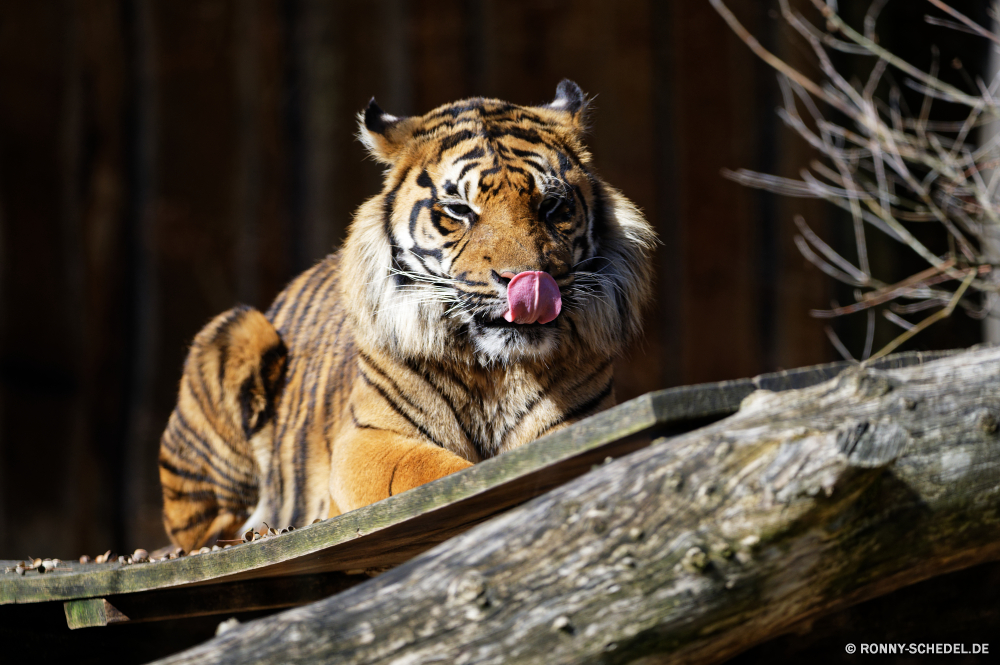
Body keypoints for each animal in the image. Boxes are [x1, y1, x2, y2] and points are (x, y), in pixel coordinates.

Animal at [158, 80, 656, 548]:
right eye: (459, 210)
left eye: (551, 206)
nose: (527, 280)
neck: (496, 372)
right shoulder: (366, 439)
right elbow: (433, 473)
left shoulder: (581, 423)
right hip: (236, 330)